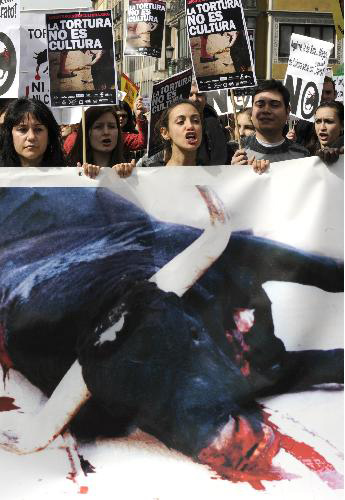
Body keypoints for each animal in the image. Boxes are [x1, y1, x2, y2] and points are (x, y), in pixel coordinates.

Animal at [0, 187, 342, 468]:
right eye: (126, 410)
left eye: (194, 334)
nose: (234, 445)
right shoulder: (274, 368)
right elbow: (326, 362)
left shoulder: (249, 250)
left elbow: (324, 270)